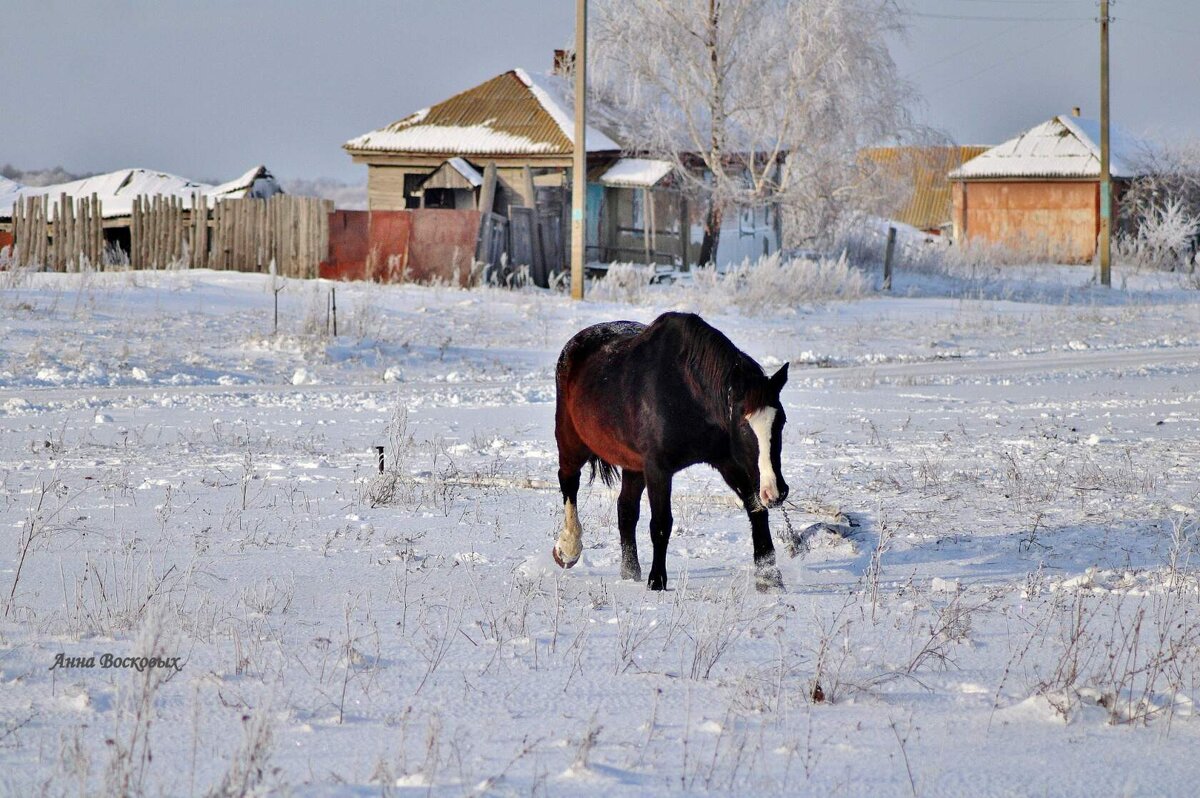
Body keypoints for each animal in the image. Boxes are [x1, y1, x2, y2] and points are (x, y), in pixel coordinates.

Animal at [549, 312, 787, 590]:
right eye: (743, 425)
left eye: (781, 421)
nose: (776, 491)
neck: (685, 393)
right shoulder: (658, 468)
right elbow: (661, 523)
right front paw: (657, 582)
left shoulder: (728, 461)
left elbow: (756, 510)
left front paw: (769, 578)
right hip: (571, 442)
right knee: (569, 483)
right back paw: (568, 549)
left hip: (633, 465)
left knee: (626, 510)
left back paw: (630, 572)